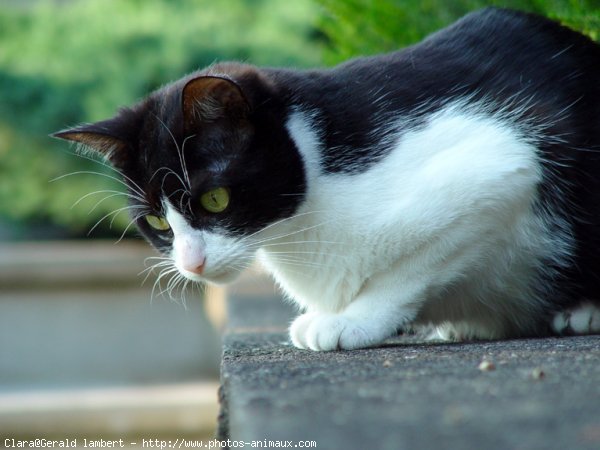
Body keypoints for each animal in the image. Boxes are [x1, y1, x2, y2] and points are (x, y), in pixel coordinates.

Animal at [55, 7, 600, 352]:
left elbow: (410, 265)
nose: (191, 265)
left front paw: (353, 320)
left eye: (214, 200)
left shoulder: (498, 164)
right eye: (157, 223)